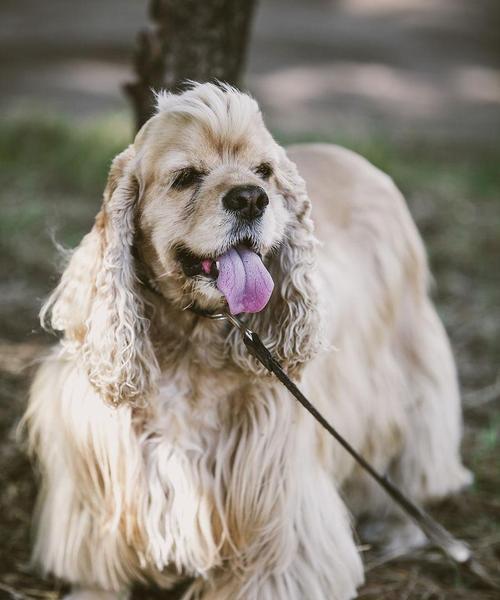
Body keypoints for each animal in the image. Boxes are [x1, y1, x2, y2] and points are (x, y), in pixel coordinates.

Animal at [25, 82, 470, 596]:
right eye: (186, 177)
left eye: (264, 172)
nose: (251, 198)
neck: (191, 340)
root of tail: (353, 157)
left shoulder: (280, 516)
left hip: (409, 364)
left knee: (413, 453)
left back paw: (402, 529)